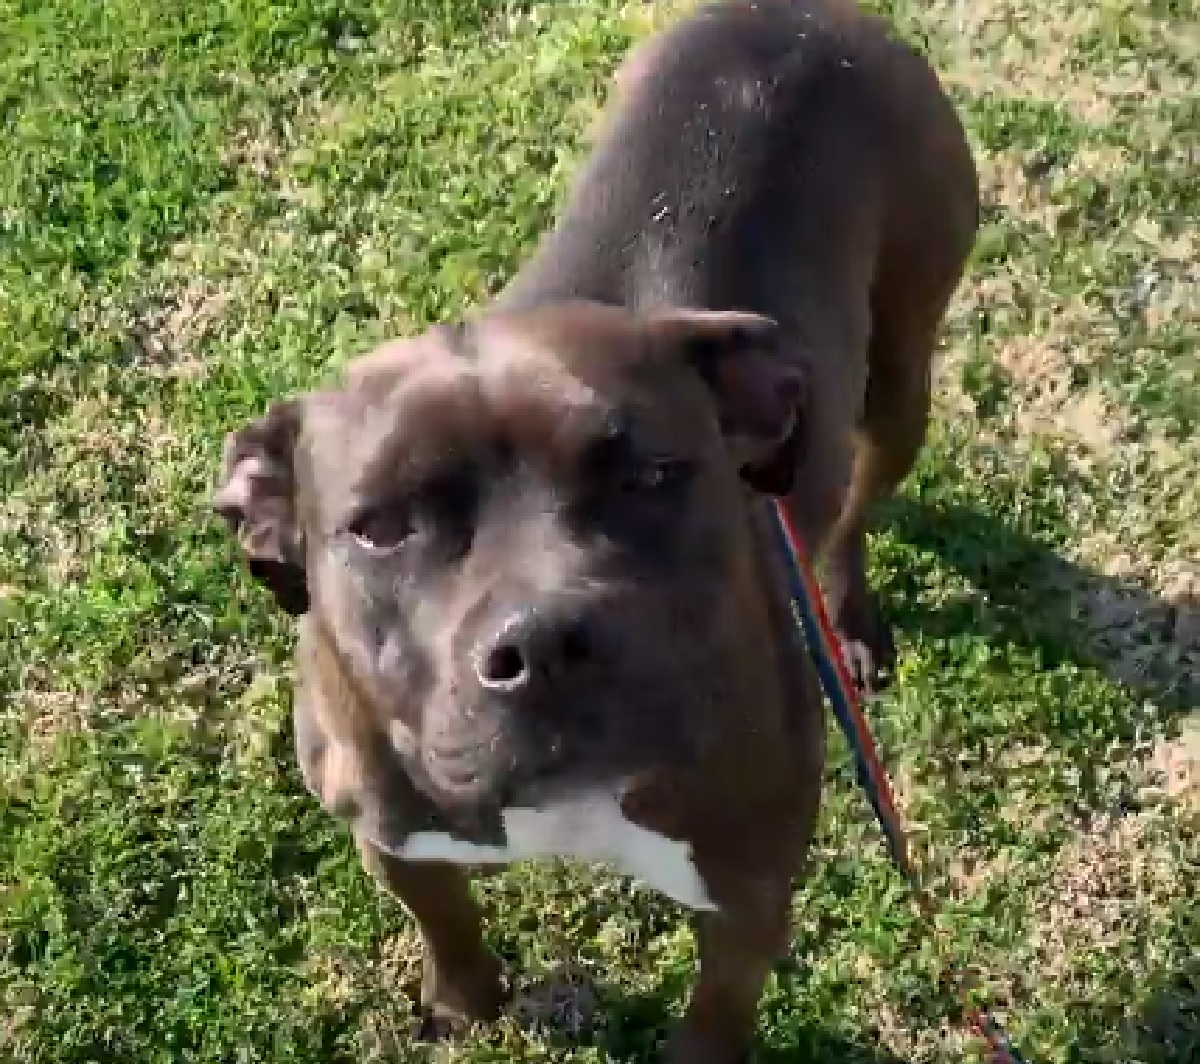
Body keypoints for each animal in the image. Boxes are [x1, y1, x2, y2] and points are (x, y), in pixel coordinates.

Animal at [211, 4, 974, 1060]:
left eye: (651, 476)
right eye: (381, 527)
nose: (545, 644)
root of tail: (805, 17)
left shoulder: (747, 905)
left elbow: (712, 1020)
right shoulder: (390, 834)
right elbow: (443, 918)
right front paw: (466, 1001)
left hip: (901, 369)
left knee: (860, 492)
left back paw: (850, 620)